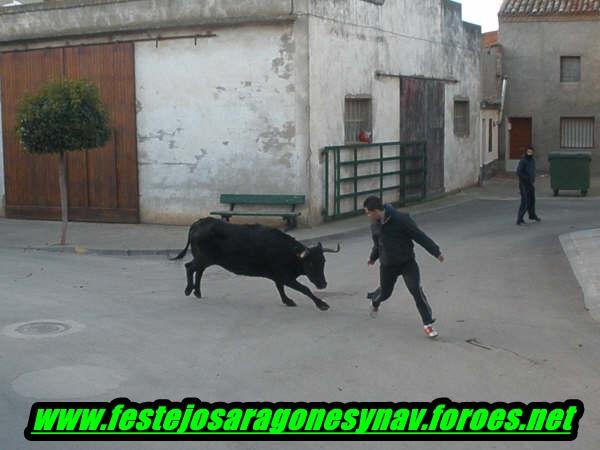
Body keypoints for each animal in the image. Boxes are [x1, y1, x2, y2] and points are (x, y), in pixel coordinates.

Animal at [171, 217, 340, 310]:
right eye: (310, 264)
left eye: (323, 262)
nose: (323, 284)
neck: (289, 253)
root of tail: (197, 223)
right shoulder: (286, 277)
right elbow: (305, 289)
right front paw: (322, 305)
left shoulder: (279, 277)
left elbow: (280, 288)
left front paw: (287, 301)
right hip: (203, 258)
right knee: (190, 267)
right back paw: (188, 290)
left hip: (206, 260)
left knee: (198, 271)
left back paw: (197, 292)